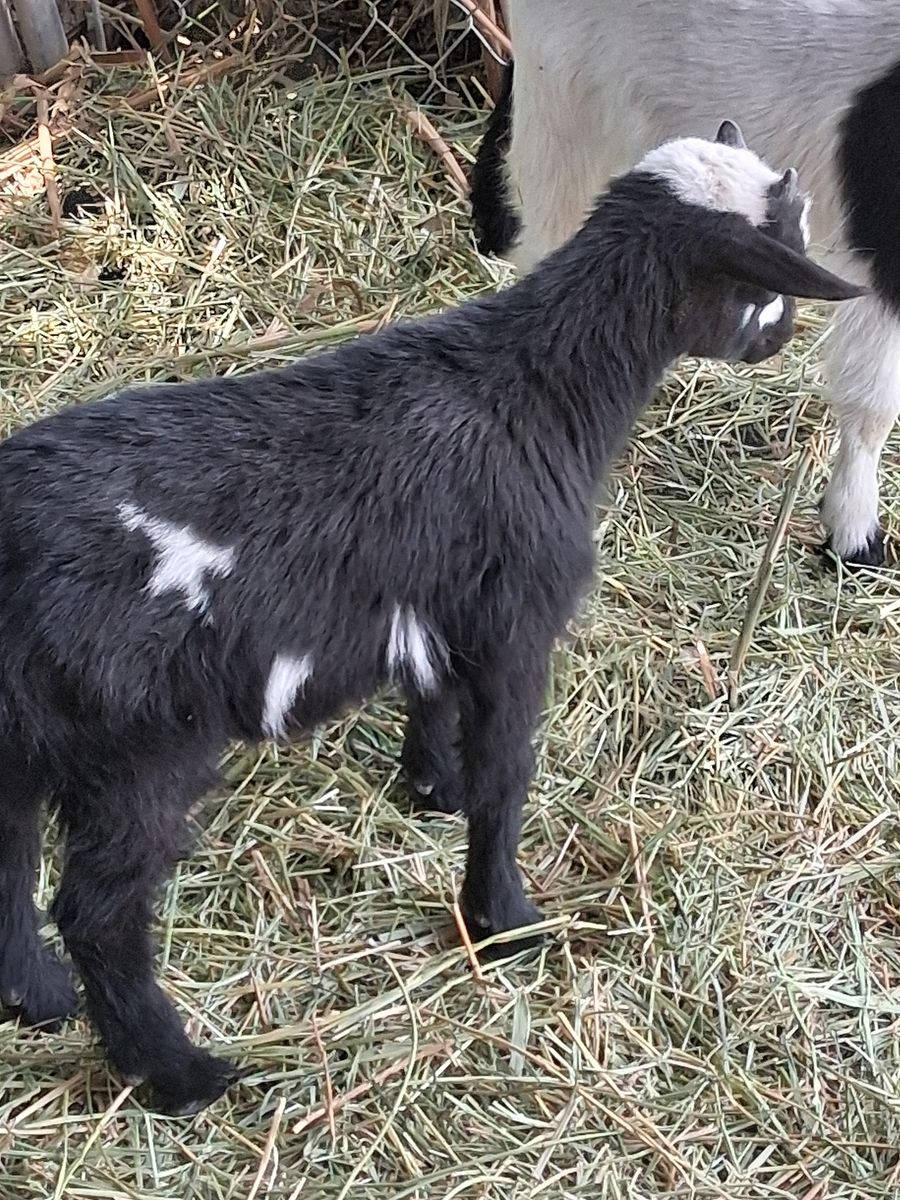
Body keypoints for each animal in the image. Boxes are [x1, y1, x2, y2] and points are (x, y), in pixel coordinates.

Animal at [0, 126, 862, 1115]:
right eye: (777, 259)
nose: (783, 339)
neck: (537, 385)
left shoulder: (443, 599)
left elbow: (434, 695)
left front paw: (431, 785)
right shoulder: (519, 617)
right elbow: (508, 774)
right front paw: (505, 919)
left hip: (21, 720)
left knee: (6, 840)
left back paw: (34, 994)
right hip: (141, 743)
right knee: (97, 912)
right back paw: (176, 1072)